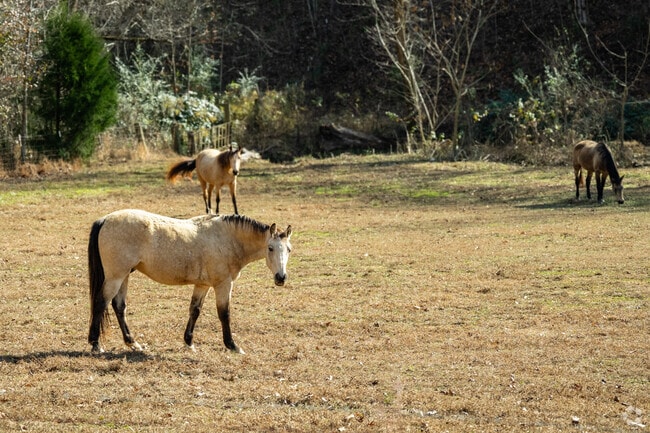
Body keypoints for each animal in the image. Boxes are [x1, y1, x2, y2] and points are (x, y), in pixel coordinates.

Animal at [87, 209, 293, 354]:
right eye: (270, 248)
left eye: (289, 249)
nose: (281, 277)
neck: (227, 238)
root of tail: (105, 219)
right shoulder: (223, 284)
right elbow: (224, 314)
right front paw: (232, 346)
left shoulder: (202, 285)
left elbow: (195, 310)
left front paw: (189, 342)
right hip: (116, 276)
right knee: (100, 302)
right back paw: (96, 344)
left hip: (124, 276)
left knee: (119, 306)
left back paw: (133, 343)